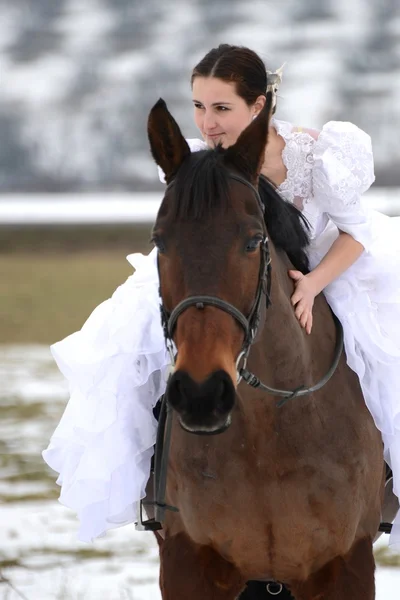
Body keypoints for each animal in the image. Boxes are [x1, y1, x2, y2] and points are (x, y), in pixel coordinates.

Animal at [146, 91, 384, 596]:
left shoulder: (346, 564)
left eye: (254, 240)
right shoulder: (187, 562)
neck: (269, 435)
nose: (201, 394)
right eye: (160, 241)